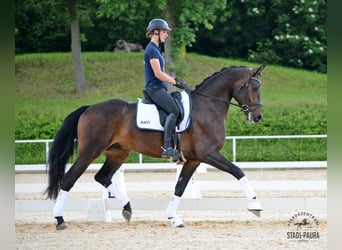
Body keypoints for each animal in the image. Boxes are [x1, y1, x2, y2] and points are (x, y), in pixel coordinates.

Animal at [45, 64, 266, 229]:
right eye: (253, 88)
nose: (257, 117)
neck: (208, 106)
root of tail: (89, 108)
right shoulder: (208, 153)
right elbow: (238, 171)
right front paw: (255, 205)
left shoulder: (194, 159)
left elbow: (180, 187)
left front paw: (174, 218)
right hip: (90, 151)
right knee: (69, 179)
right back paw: (59, 220)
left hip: (118, 152)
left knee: (102, 176)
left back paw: (127, 208)